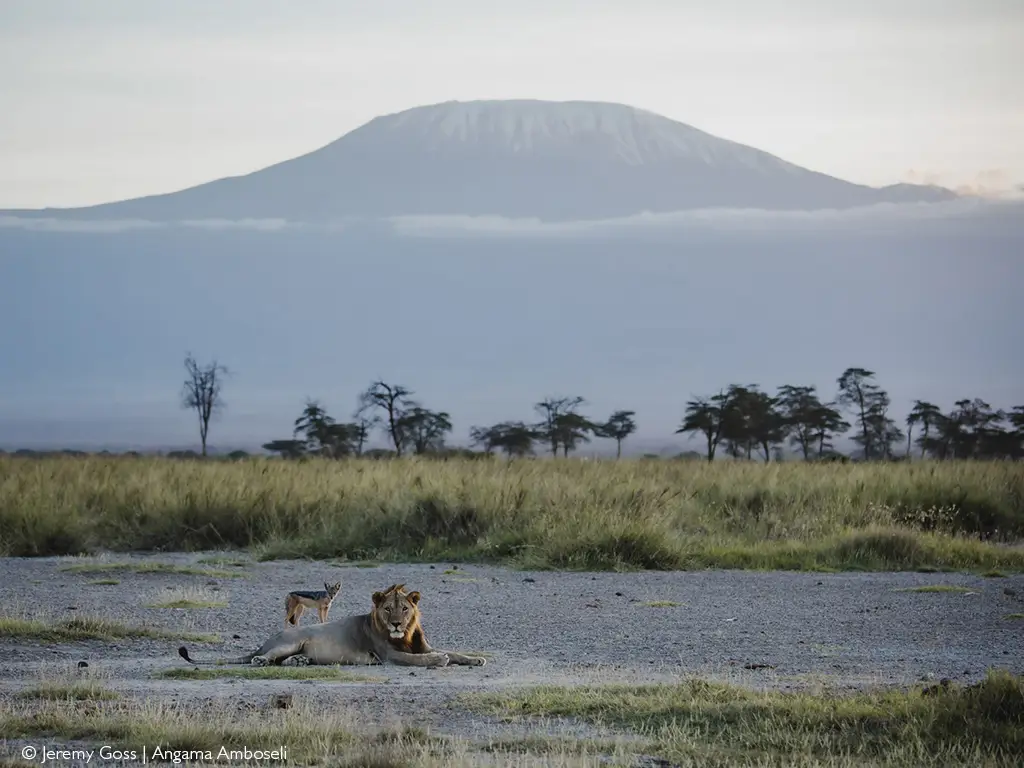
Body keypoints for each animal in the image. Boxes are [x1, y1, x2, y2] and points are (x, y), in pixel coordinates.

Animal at [177, 583, 486, 669]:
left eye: (405, 609)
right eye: (388, 609)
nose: (397, 623)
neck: (406, 635)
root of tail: (265, 641)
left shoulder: (421, 644)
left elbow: (455, 652)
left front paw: (475, 658)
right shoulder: (388, 655)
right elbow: (419, 659)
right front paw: (439, 660)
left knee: (285, 660)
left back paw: (300, 662)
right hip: (290, 639)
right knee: (265, 657)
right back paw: (261, 660)